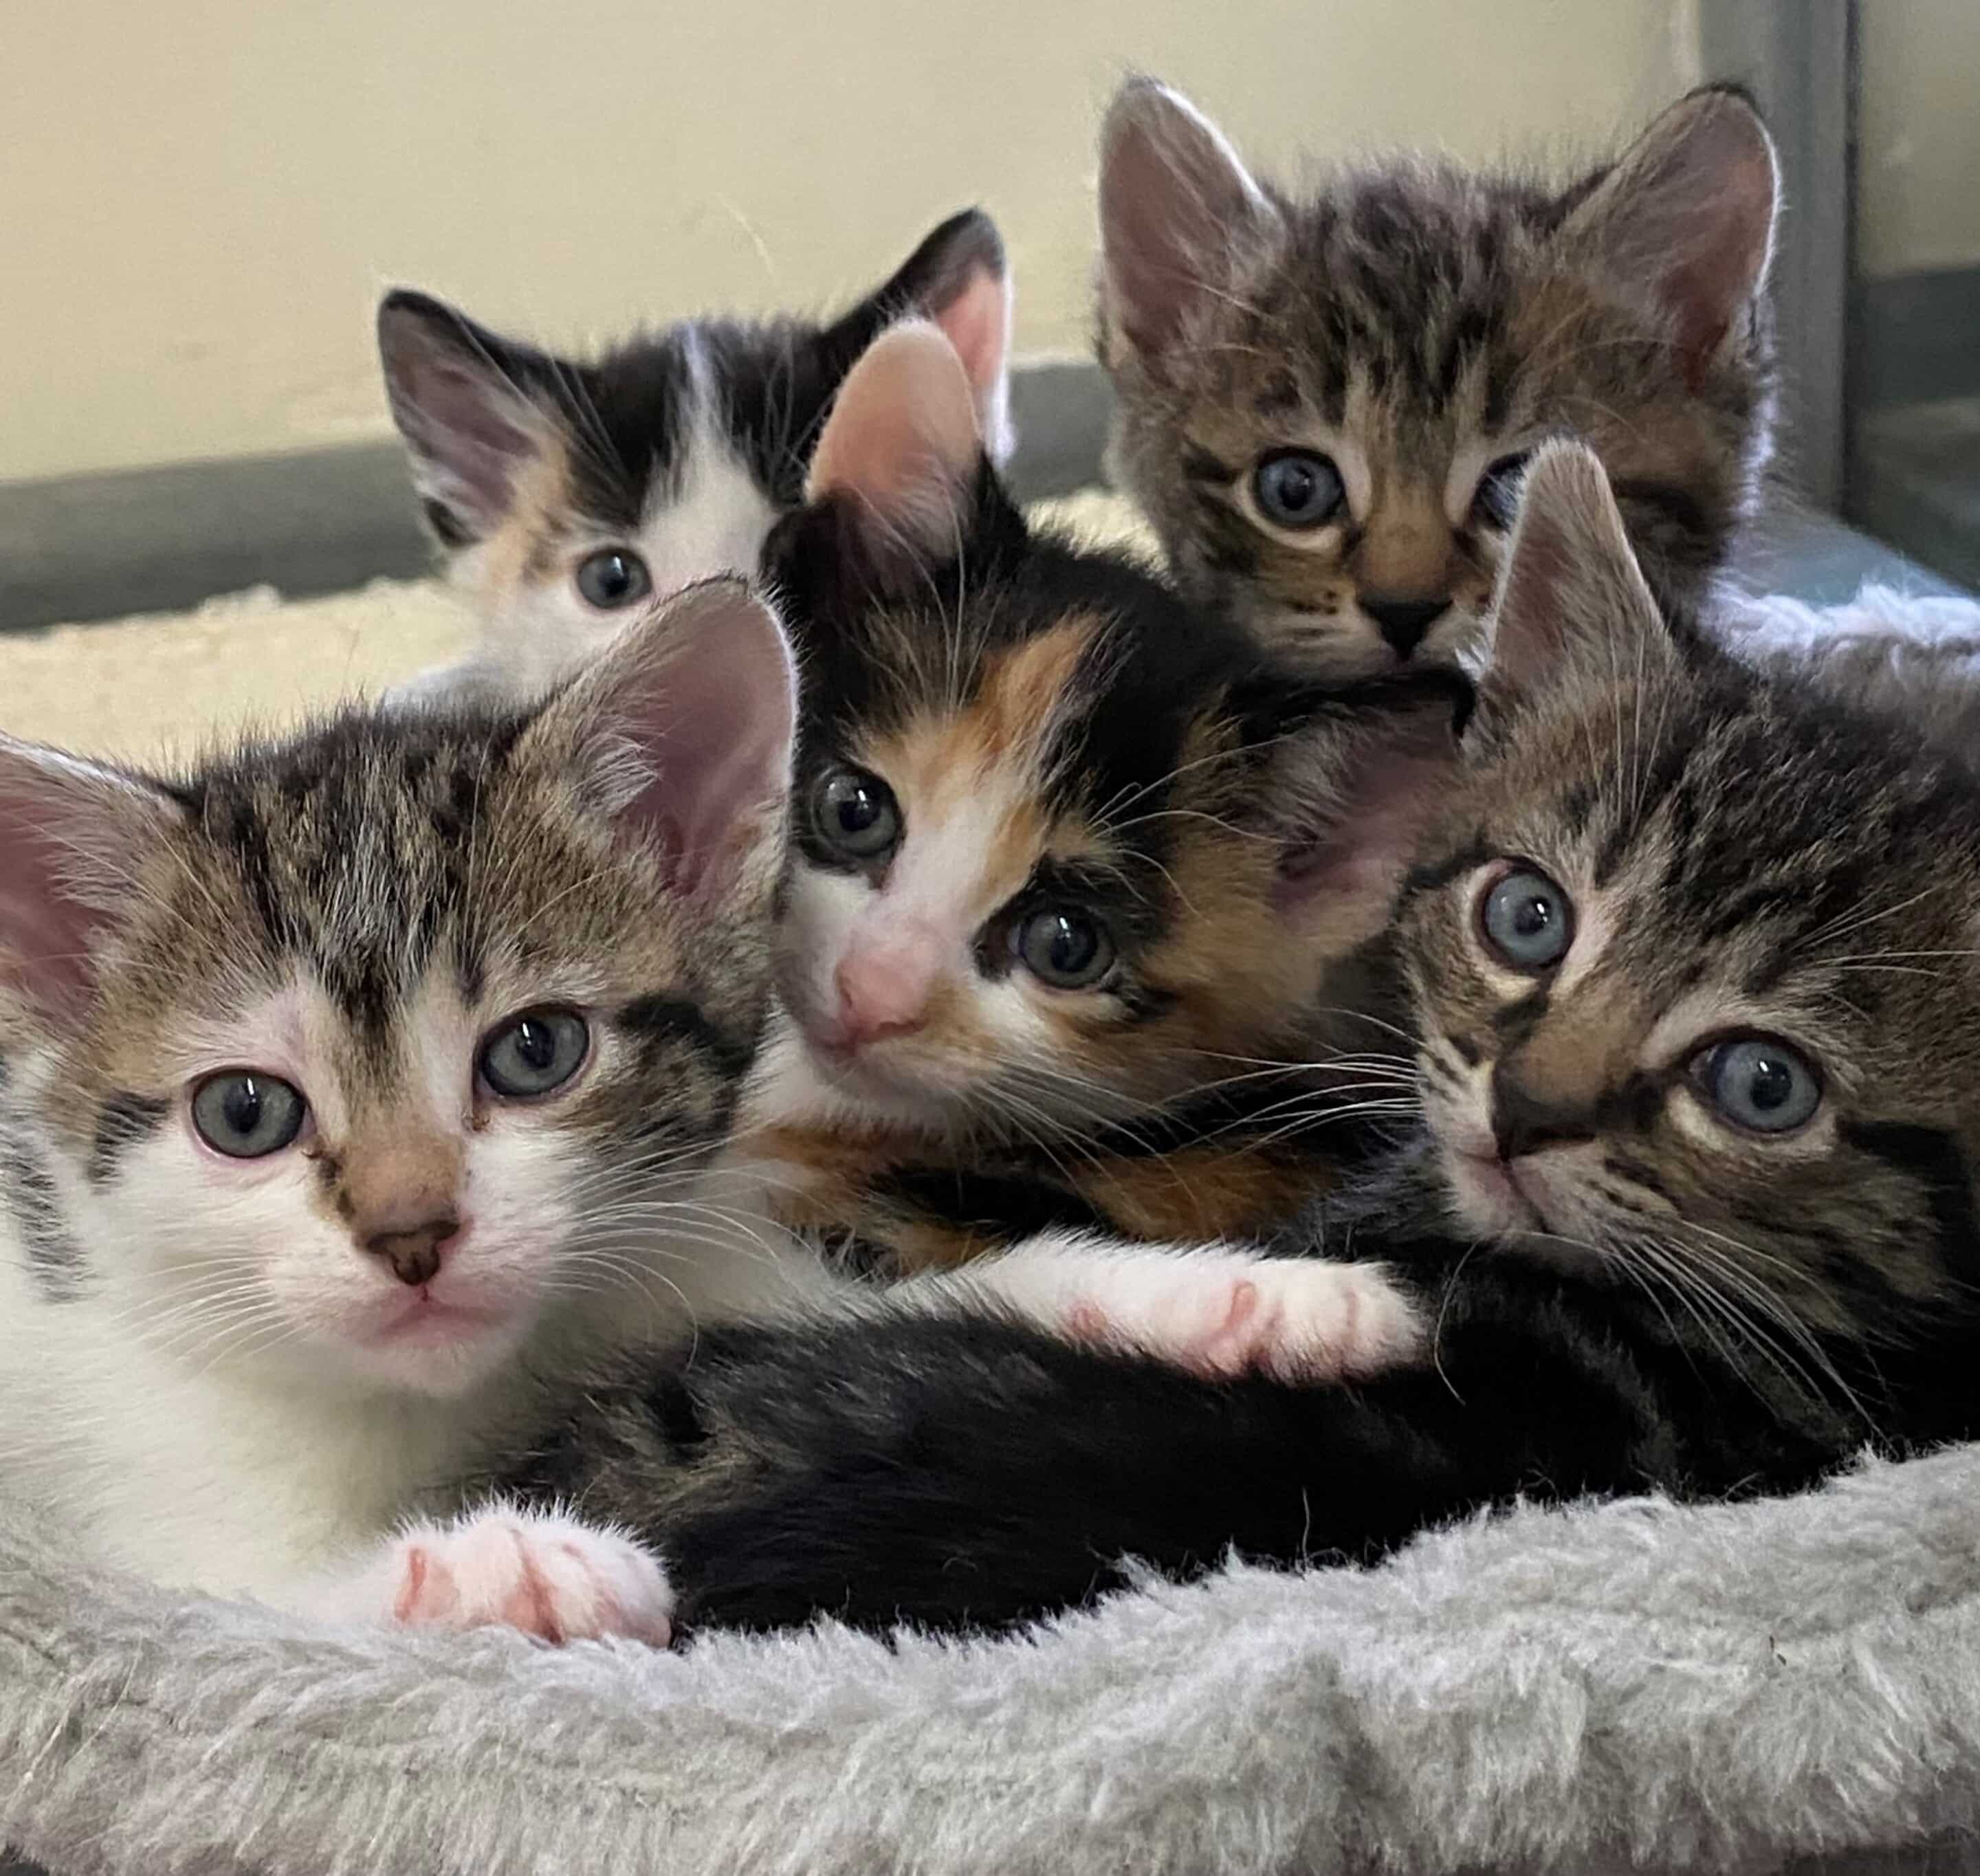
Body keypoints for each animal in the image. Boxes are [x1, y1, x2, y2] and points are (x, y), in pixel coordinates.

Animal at [0, 576, 1414, 1618]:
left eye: (535, 1051)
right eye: (245, 1114)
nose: (413, 1233)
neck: (470, 1389)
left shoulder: (691, 1253)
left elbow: (921, 1295)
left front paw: (1243, 1298)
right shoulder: (167, 1495)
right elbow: (257, 1605)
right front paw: (501, 1562)